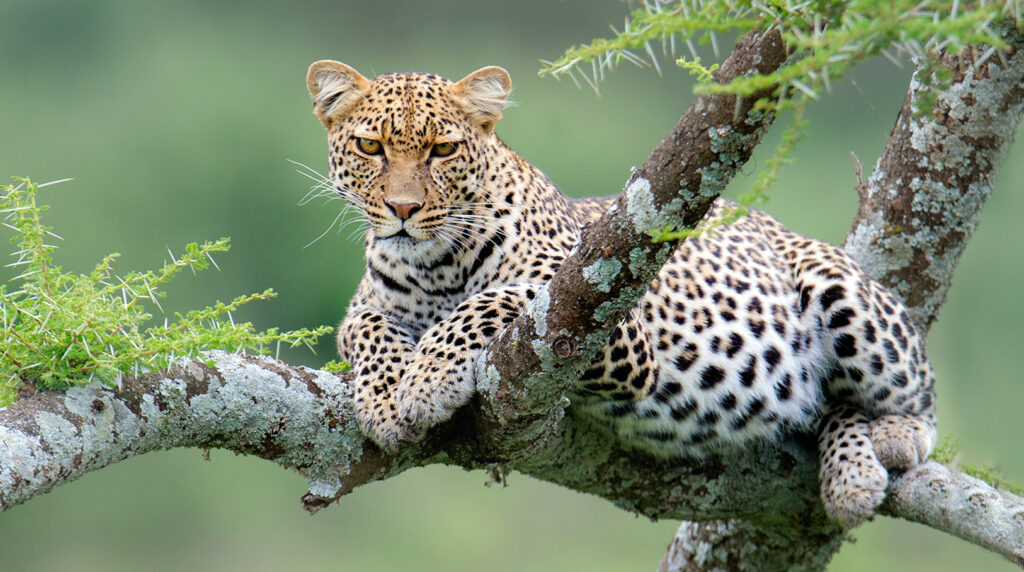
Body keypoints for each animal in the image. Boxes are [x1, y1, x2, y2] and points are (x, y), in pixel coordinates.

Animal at [303, 59, 937, 528]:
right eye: (370, 148)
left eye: (442, 151)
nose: (402, 209)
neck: (434, 265)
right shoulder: (362, 309)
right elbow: (371, 330)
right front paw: (386, 398)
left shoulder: (606, 324)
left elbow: (492, 302)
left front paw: (425, 381)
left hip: (837, 286)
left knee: (915, 391)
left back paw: (893, 437)